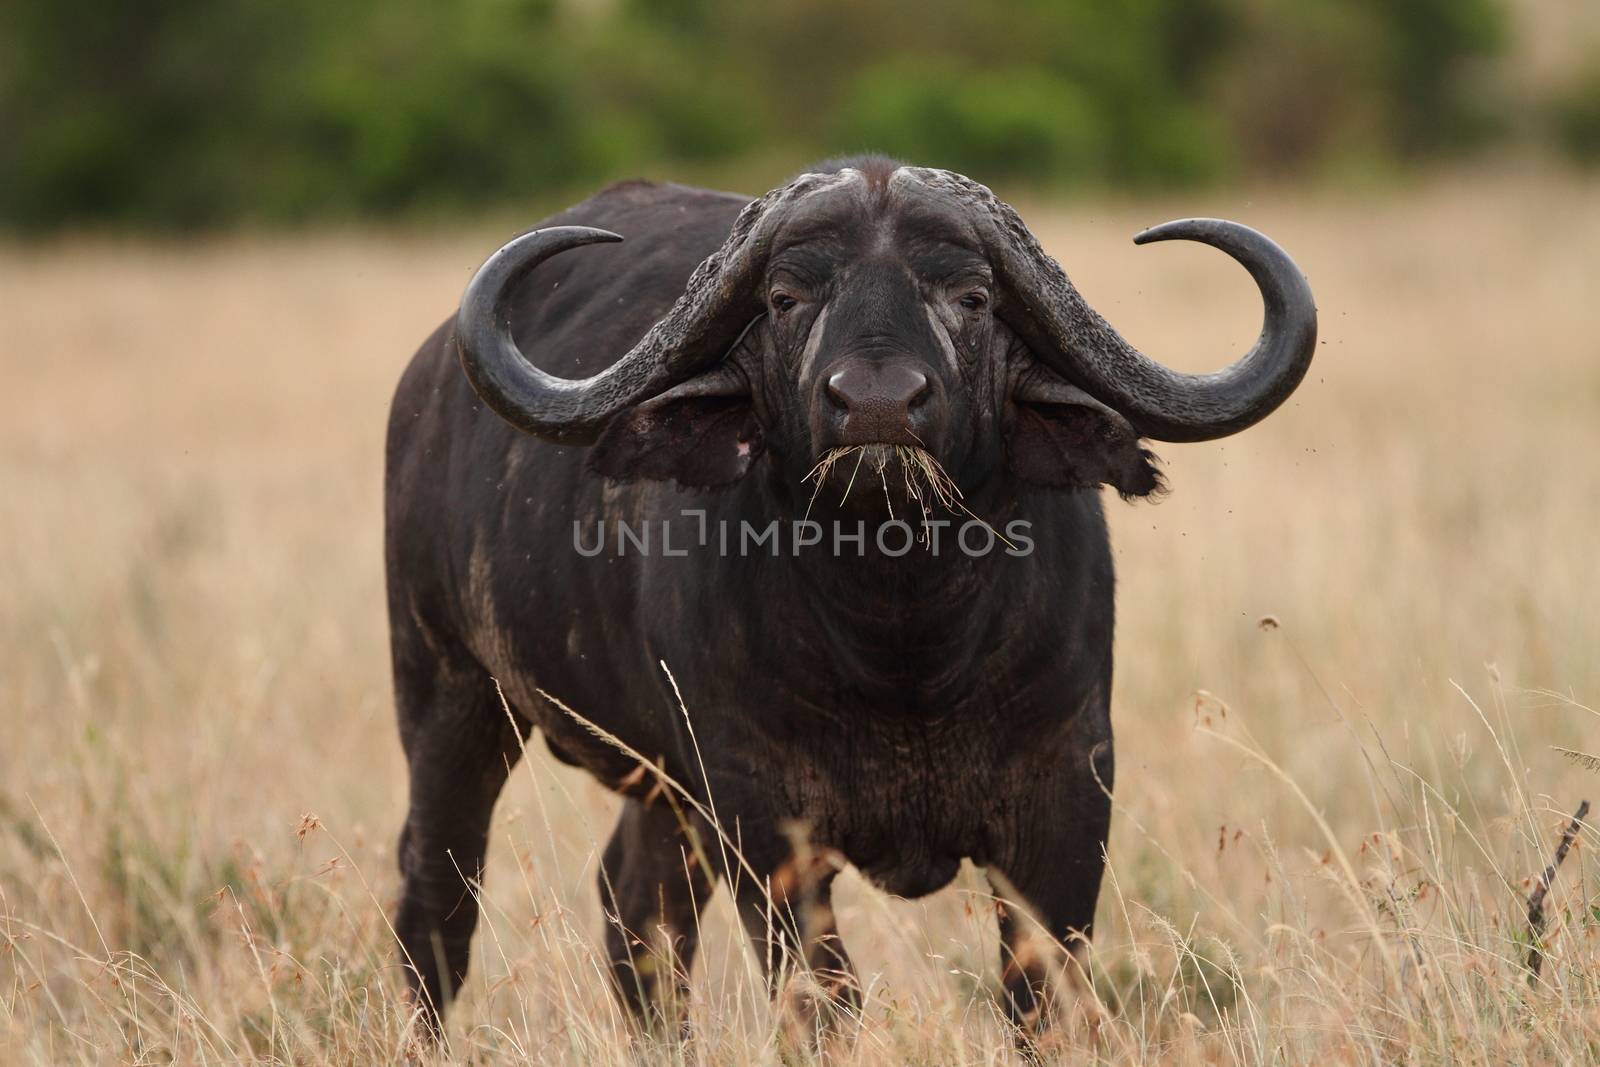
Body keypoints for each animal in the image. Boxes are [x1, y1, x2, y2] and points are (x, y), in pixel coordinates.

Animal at [384, 156, 1312, 1036]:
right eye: (786, 296)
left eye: (971, 295)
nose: (876, 405)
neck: (904, 642)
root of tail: (429, 380)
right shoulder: (759, 813)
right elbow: (822, 997)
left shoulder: (1070, 792)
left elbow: (1039, 995)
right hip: (448, 694)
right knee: (439, 897)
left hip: (660, 780)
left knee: (637, 911)